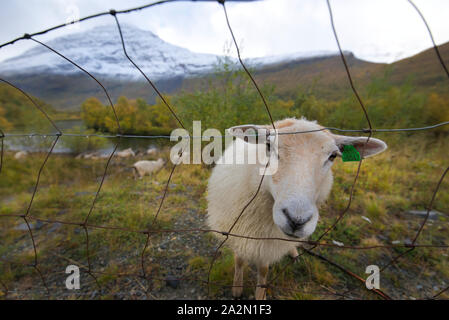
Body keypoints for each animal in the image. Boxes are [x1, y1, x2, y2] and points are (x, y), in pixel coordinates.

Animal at [206, 118, 384, 300]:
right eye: (268, 145)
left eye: (333, 156)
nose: (297, 220)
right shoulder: (238, 232)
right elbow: (239, 260)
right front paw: (237, 288)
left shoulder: (268, 242)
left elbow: (263, 269)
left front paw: (260, 294)